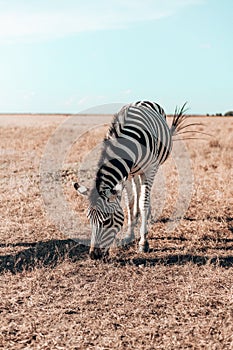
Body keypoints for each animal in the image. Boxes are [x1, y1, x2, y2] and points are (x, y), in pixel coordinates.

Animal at [74, 100, 187, 258]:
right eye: (89, 219)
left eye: (107, 220)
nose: (93, 255)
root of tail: (145, 100)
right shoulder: (125, 176)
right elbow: (130, 203)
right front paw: (130, 234)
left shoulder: (149, 169)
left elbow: (143, 203)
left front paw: (143, 242)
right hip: (135, 172)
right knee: (137, 190)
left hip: (152, 168)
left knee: (145, 194)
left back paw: (147, 217)